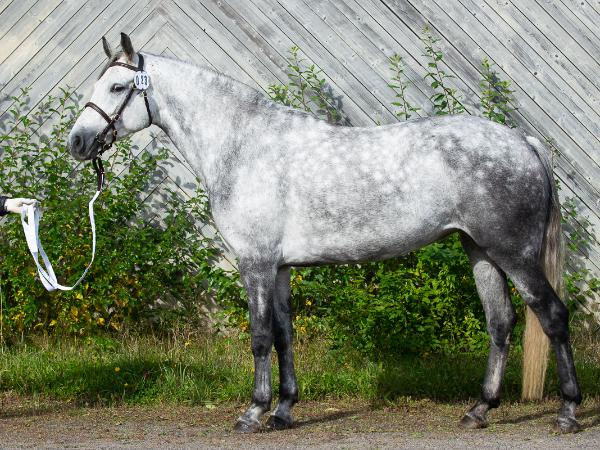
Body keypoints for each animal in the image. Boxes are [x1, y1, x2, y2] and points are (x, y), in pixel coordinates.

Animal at [68, 33, 581, 433]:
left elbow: (259, 336)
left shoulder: (255, 264)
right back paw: (478, 411)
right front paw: (283, 411)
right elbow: (284, 335)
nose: (77, 142)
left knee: (553, 316)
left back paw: (568, 413)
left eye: (117, 86)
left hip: (514, 254)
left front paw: (253, 414)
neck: (244, 145)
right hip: (480, 251)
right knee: (501, 323)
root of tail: (523, 142)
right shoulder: (279, 268)